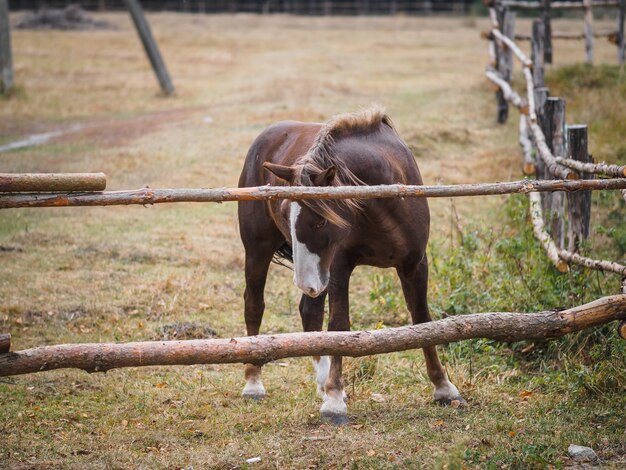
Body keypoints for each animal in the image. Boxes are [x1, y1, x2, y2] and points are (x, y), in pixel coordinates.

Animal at [236, 106, 460, 426]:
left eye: (320, 220)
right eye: (284, 212)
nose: (305, 282)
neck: (382, 202)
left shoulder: (415, 264)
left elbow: (424, 322)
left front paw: (443, 387)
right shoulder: (340, 267)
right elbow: (339, 326)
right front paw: (334, 401)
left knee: (309, 311)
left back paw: (321, 380)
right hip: (260, 251)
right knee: (255, 305)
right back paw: (254, 382)